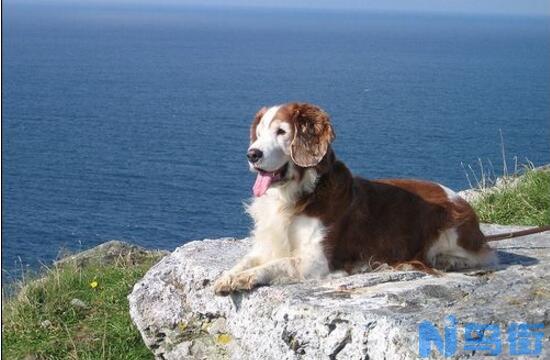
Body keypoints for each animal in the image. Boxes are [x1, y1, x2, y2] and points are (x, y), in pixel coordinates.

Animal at [213, 102, 498, 296]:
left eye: (281, 132)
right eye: (259, 133)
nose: (252, 154)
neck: (300, 194)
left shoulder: (315, 260)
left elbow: (277, 264)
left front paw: (244, 277)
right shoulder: (267, 245)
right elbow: (246, 261)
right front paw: (228, 276)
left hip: (451, 229)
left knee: (486, 255)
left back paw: (448, 260)